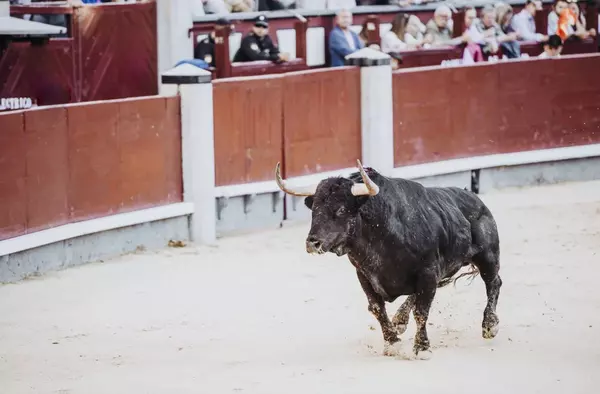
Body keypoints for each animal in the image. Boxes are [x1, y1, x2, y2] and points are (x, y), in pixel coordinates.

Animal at [276, 159, 502, 358]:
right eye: (314, 209)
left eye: (340, 209)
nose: (312, 243)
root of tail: (476, 200)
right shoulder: (364, 275)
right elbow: (377, 308)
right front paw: (392, 343)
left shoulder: (428, 272)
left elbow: (421, 311)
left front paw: (422, 348)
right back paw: (399, 320)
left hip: (488, 257)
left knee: (494, 282)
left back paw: (489, 325)